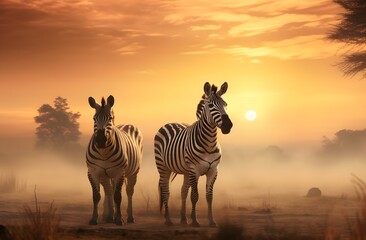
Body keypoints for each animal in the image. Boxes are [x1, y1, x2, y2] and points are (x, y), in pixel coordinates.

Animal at [86, 95, 143, 225]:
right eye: (94, 118)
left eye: (110, 118)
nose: (101, 140)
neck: (104, 152)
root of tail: (127, 124)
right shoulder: (93, 172)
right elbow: (96, 196)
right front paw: (94, 219)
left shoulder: (119, 172)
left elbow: (118, 196)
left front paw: (119, 219)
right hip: (106, 174)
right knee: (109, 191)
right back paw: (109, 216)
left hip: (133, 172)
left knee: (129, 191)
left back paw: (129, 217)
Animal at [154, 82, 233, 227]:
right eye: (211, 105)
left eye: (226, 104)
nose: (228, 126)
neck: (209, 143)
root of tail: (170, 123)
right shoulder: (194, 170)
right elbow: (195, 196)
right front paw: (195, 221)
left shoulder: (213, 170)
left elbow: (209, 196)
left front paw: (211, 221)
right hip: (163, 167)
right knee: (165, 191)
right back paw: (168, 220)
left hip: (185, 171)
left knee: (183, 191)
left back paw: (183, 219)